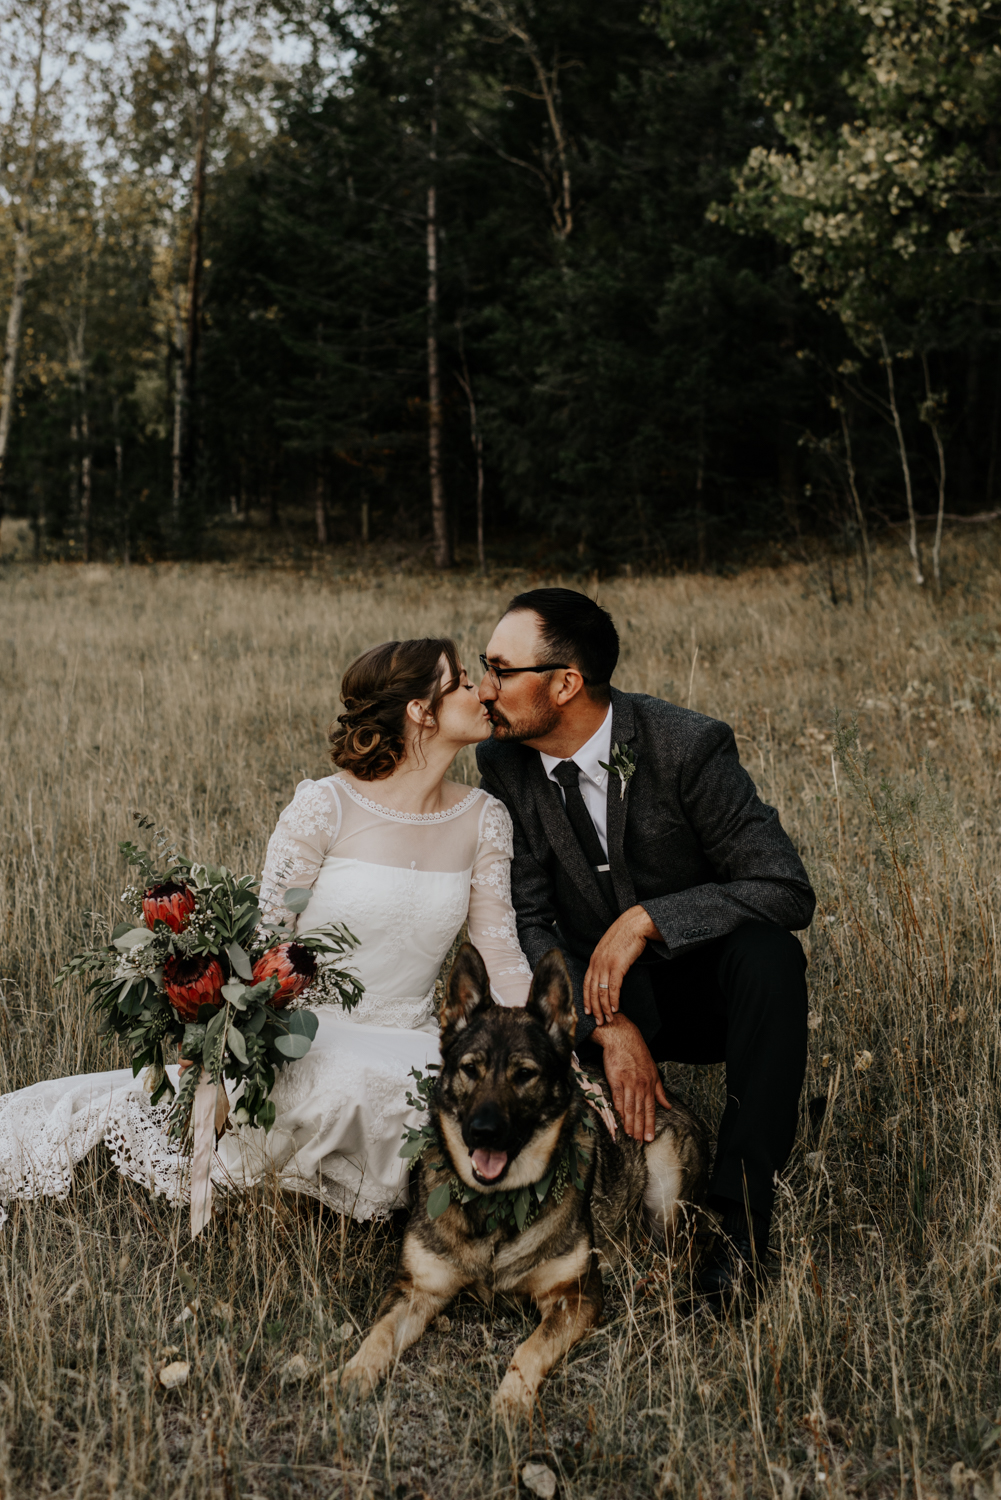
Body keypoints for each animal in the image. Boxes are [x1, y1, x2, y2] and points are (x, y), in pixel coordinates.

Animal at [345, 942, 711, 1410]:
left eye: (524, 1074)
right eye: (470, 1069)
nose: (483, 1131)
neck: (495, 1207)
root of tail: (672, 1097)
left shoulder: (575, 1297)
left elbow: (530, 1348)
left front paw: (510, 1403)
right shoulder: (417, 1289)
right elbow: (380, 1332)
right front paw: (350, 1375)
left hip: (665, 1182)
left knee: (683, 1249)